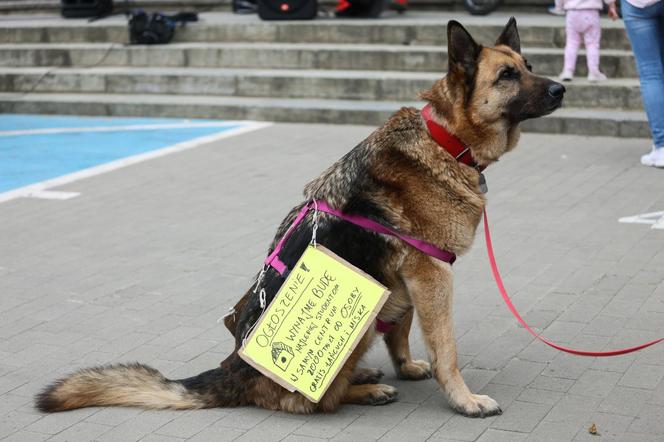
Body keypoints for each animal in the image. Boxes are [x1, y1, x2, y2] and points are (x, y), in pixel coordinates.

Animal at [36, 18, 564, 418]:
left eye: (529, 68)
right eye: (506, 76)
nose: (562, 87)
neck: (445, 140)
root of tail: (232, 368)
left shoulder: (410, 278)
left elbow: (404, 331)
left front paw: (409, 365)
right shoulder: (431, 274)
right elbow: (446, 350)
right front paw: (463, 399)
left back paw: (369, 376)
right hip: (359, 321)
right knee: (316, 403)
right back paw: (365, 389)